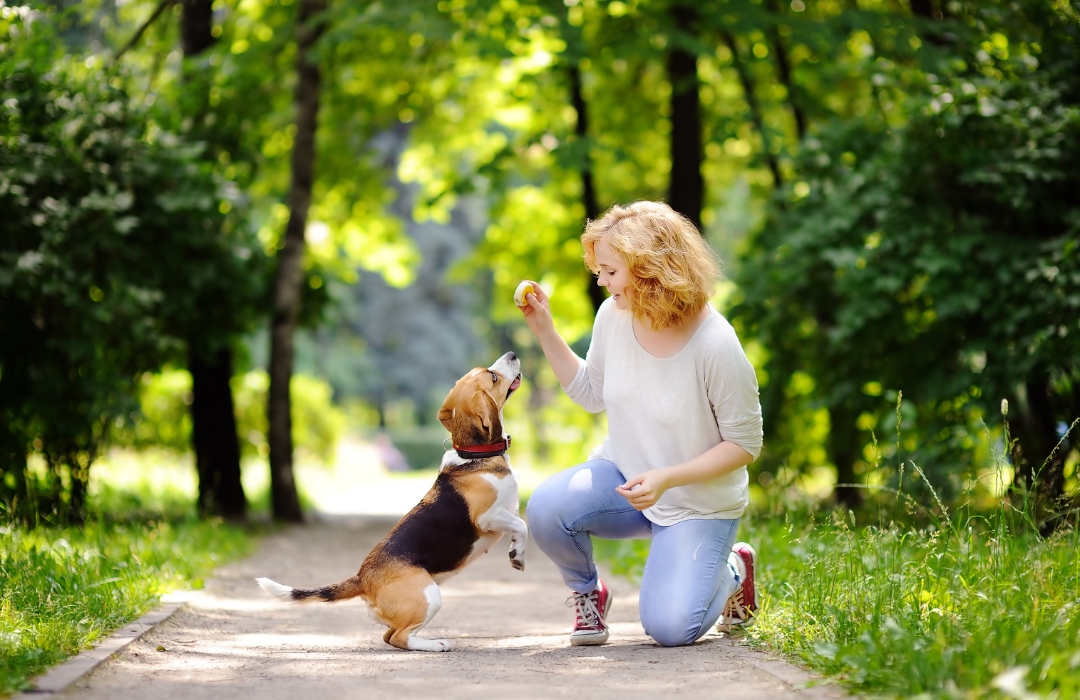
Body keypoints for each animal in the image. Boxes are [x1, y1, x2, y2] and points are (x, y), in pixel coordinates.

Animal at [252, 352, 522, 652]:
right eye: (493, 377)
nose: (512, 355)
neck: (474, 455)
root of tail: (362, 578)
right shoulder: (488, 517)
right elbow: (522, 525)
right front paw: (519, 556)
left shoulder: (509, 511)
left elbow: (519, 526)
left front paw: (515, 552)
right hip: (429, 596)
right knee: (400, 638)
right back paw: (435, 644)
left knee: (389, 637)